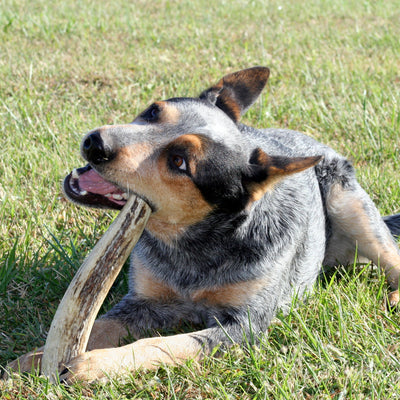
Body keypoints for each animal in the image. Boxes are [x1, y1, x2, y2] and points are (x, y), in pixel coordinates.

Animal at [5, 67, 400, 382]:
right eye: (153, 111)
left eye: (179, 161)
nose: (94, 142)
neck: (193, 246)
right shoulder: (141, 302)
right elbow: (102, 324)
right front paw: (35, 359)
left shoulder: (244, 326)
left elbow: (161, 345)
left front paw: (93, 365)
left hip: (349, 203)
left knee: (390, 257)